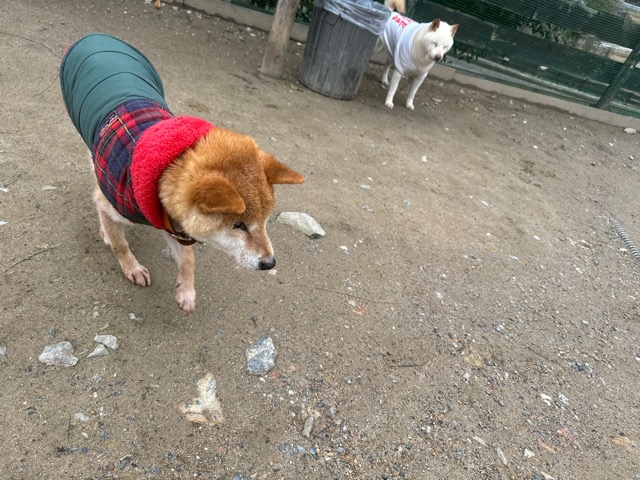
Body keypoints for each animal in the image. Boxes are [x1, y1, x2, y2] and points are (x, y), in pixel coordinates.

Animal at [60, 34, 304, 314]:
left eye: (265, 220)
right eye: (238, 225)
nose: (269, 263)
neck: (162, 173)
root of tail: (97, 36)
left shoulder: (173, 222)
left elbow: (188, 259)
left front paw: (186, 291)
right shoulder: (115, 202)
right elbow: (120, 243)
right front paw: (130, 266)